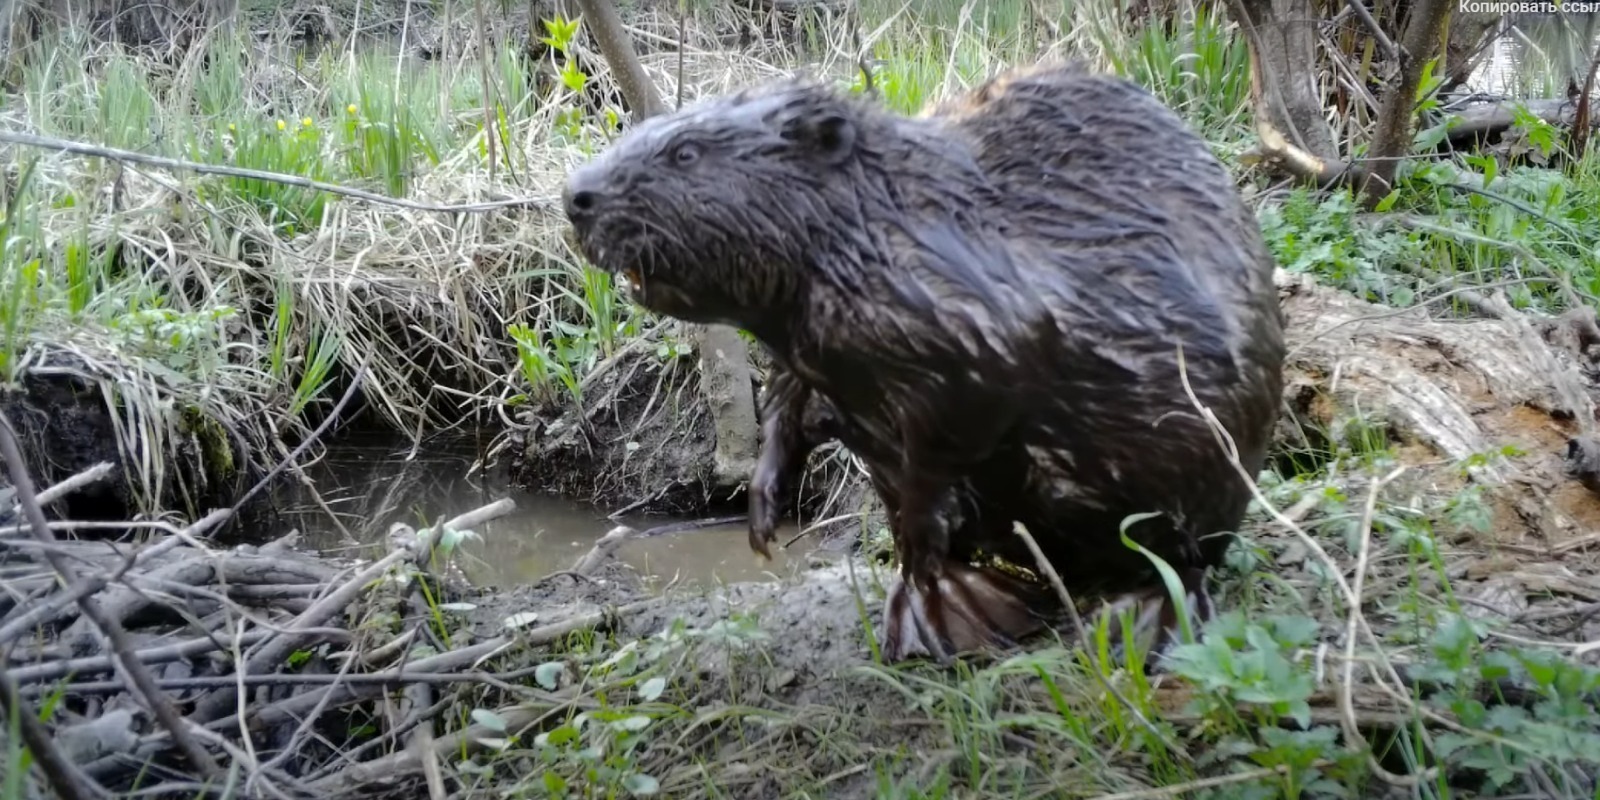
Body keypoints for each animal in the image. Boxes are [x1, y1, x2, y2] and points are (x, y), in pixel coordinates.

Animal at [563, 60, 1286, 662]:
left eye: (685, 152)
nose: (575, 196)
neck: (881, 217)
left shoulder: (976, 321)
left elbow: (960, 426)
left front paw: (925, 547)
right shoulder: (806, 344)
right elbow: (788, 404)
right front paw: (763, 517)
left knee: (1187, 564)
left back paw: (1129, 620)